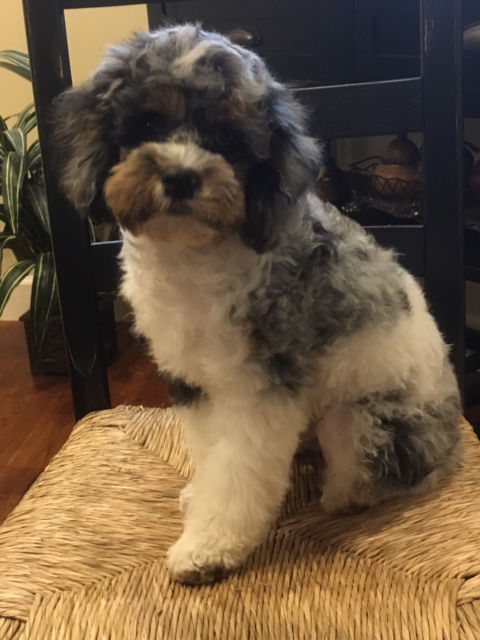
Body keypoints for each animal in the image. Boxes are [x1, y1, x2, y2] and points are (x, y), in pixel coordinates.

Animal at [52, 25, 462, 584]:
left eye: (227, 138)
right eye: (149, 122)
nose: (181, 177)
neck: (194, 258)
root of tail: (455, 431)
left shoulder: (259, 388)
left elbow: (237, 473)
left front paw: (207, 547)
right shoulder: (196, 383)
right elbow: (212, 456)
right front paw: (199, 499)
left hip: (364, 421)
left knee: (376, 474)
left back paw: (343, 495)